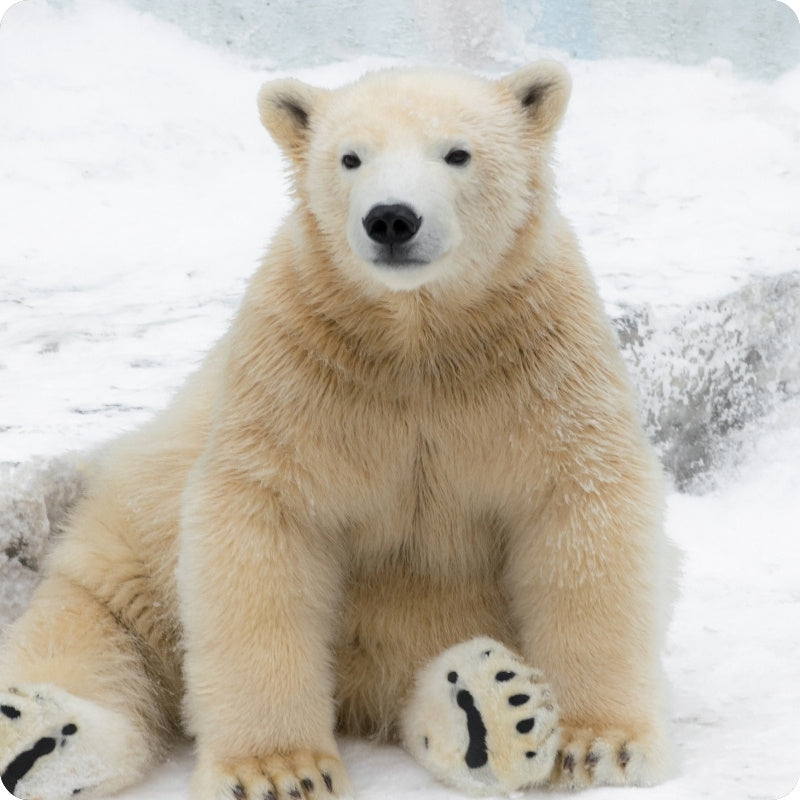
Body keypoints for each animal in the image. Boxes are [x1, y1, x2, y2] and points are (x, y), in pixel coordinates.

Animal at [0, 62, 673, 800]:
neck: (417, 337)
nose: (391, 219)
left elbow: (581, 516)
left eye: (457, 153)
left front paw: (599, 745)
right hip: (126, 547)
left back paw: (489, 708)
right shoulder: (302, 367)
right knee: (96, 633)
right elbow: (264, 528)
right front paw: (277, 770)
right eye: (350, 157)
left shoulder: (537, 359)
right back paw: (36, 734)